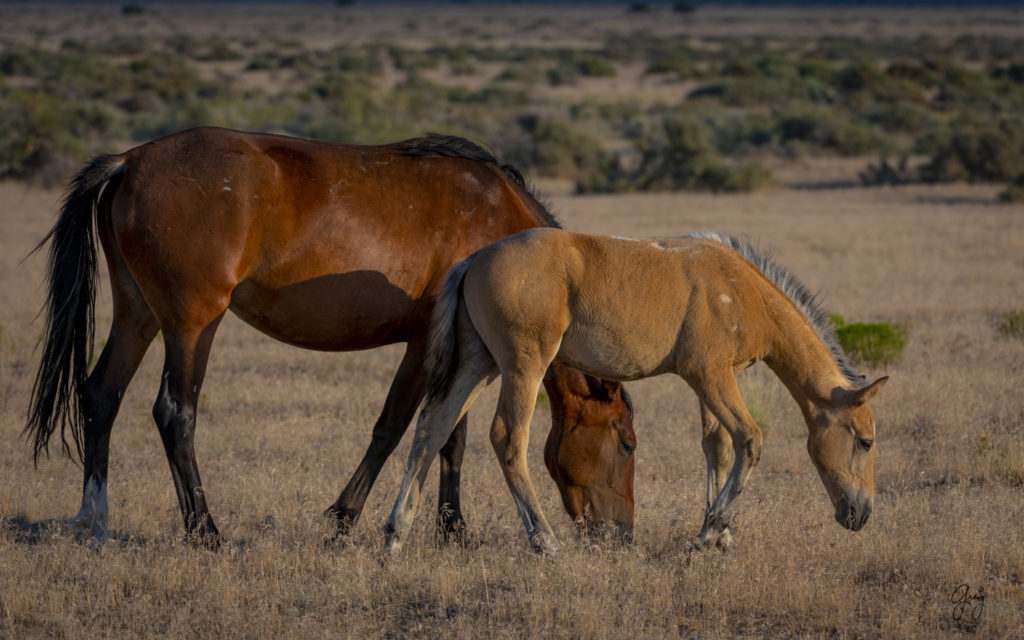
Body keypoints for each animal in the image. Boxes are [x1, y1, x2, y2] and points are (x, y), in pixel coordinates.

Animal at [24, 125, 630, 544]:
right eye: (626, 443)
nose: (620, 531)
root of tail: (129, 162)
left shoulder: (464, 350)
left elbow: (449, 436)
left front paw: (453, 528)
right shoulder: (424, 346)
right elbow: (394, 428)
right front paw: (344, 518)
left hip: (138, 315)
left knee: (101, 395)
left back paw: (93, 520)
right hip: (193, 323)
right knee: (175, 414)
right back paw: (205, 531)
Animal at [385, 228, 888, 552]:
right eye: (865, 441)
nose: (861, 514)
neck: (738, 288)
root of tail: (473, 260)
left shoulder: (711, 383)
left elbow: (717, 446)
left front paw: (719, 533)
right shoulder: (710, 376)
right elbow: (748, 440)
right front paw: (709, 533)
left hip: (479, 365)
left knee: (432, 430)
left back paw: (395, 535)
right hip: (523, 367)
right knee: (508, 438)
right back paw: (544, 541)